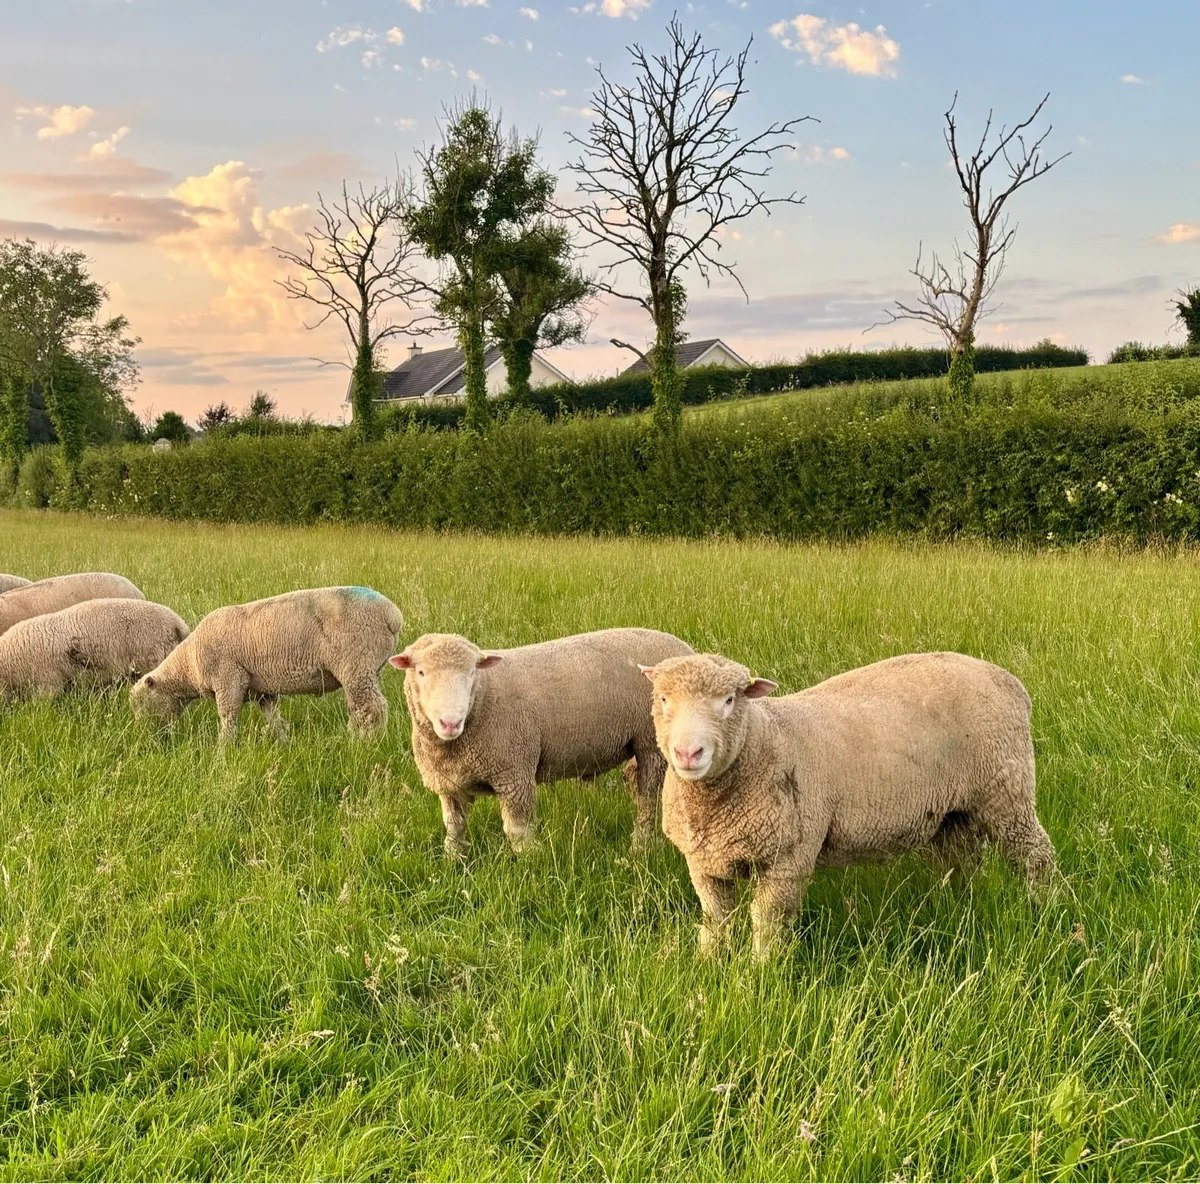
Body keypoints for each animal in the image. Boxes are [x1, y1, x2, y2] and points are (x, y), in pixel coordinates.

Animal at [130, 586, 402, 743]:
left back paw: (365, 745)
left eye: (142, 703)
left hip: (356, 664)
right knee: (360, 709)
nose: (148, 737)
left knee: (373, 709)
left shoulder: (229, 678)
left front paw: (223, 751)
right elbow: (273, 719)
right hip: (370, 669)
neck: (188, 665)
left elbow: (228, 717)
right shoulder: (263, 690)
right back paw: (355, 738)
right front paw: (283, 743)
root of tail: (393, 615)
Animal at [391, 627, 694, 857]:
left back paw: (640, 845)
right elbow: (454, 826)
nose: (450, 722)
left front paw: (530, 860)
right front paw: (454, 858)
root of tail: (687, 652)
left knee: (648, 796)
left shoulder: (514, 772)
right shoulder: (449, 783)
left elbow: (517, 829)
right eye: (421, 672)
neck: (484, 698)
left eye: (471, 673)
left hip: (651, 743)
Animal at [641, 651, 1056, 958]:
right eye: (663, 700)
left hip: (1005, 788)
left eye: (729, 701)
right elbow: (716, 921)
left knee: (1037, 854)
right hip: (954, 812)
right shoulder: (703, 862)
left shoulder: (789, 857)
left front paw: (762, 974)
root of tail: (1009, 681)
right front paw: (709, 965)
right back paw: (961, 910)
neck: (765, 740)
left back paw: (1046, 907)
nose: (688, 753)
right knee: (965, 864)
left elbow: (768, 922)